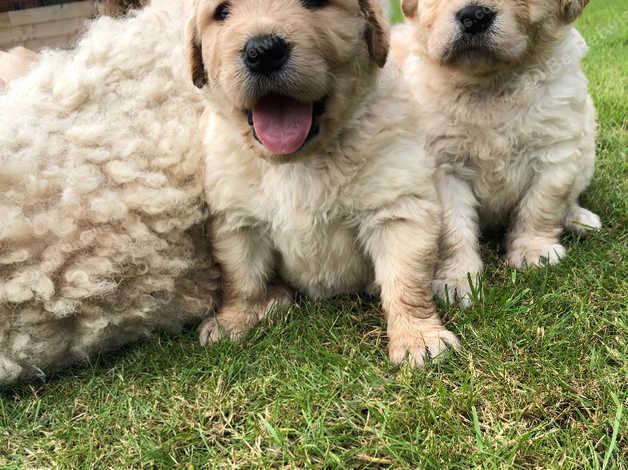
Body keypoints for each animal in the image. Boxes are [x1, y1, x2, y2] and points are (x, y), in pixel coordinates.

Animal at [185, 0, 456, 368]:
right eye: (222, 12)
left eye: (315, 3)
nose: (263, 51)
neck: (297, 162)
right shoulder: (236, 219)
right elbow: (241, 278)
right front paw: (233, 320)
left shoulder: (397, 206)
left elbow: (406, 280)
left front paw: (418, 336)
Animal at [394, 0, 600, 304]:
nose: (474, 15)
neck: (492, 84)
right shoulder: (443, 166)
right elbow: (453, 230)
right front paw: (457, 279)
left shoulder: (555, 149)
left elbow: (541, 205)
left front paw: (533, 251)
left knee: (569, 198)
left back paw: (579, 218)